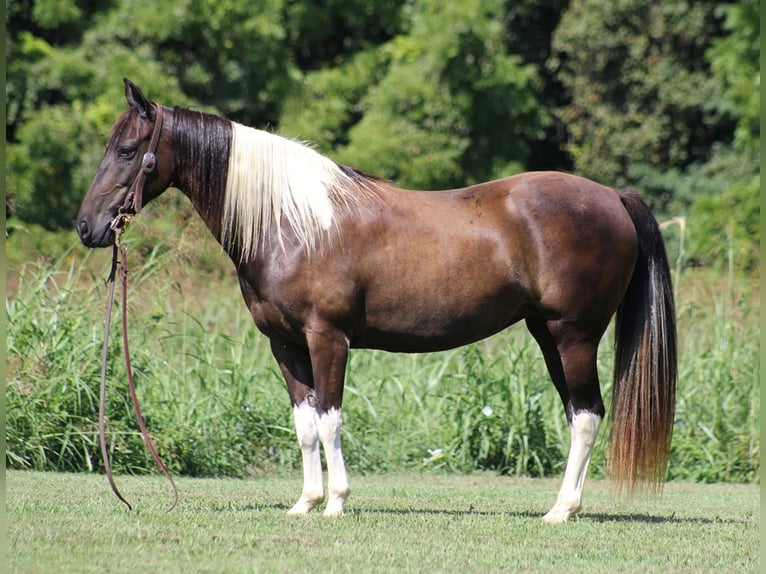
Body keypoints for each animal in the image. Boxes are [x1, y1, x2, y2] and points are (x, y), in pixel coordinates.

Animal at [78, 81, 680, 528]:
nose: (87, 227)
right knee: (579, 412)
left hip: (572, 334)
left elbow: (330, 420)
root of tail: (612, 196)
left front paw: (337, 502)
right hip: (546, 334)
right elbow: (304, 424)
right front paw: (305, 503)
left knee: (587, 415)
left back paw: (562, 510)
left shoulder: (327, 338)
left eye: (127, 150)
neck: (291, 223)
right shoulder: (285, 346)